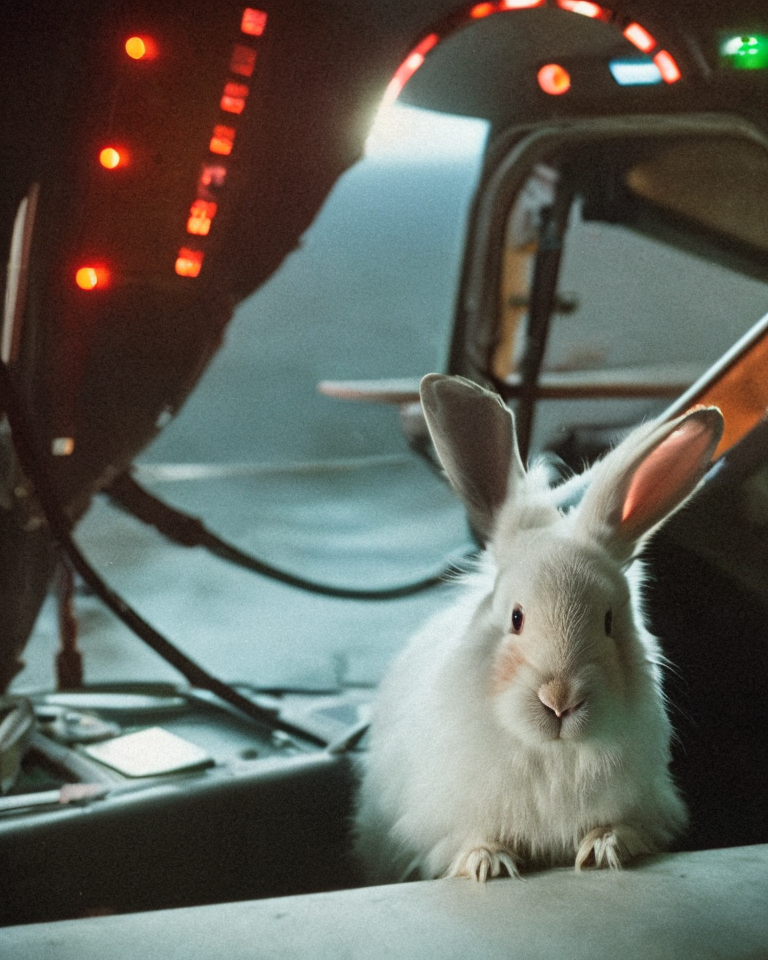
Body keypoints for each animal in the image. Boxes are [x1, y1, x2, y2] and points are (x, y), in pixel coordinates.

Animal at [356, 374, 728, 884]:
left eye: (609, 621)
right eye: (516, 617)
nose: (560, 700)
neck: (552, 752)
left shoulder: (651, 809)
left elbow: (626, 829)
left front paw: (604, 848)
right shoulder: (434, 826)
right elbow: (466, 839)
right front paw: (488, 862)